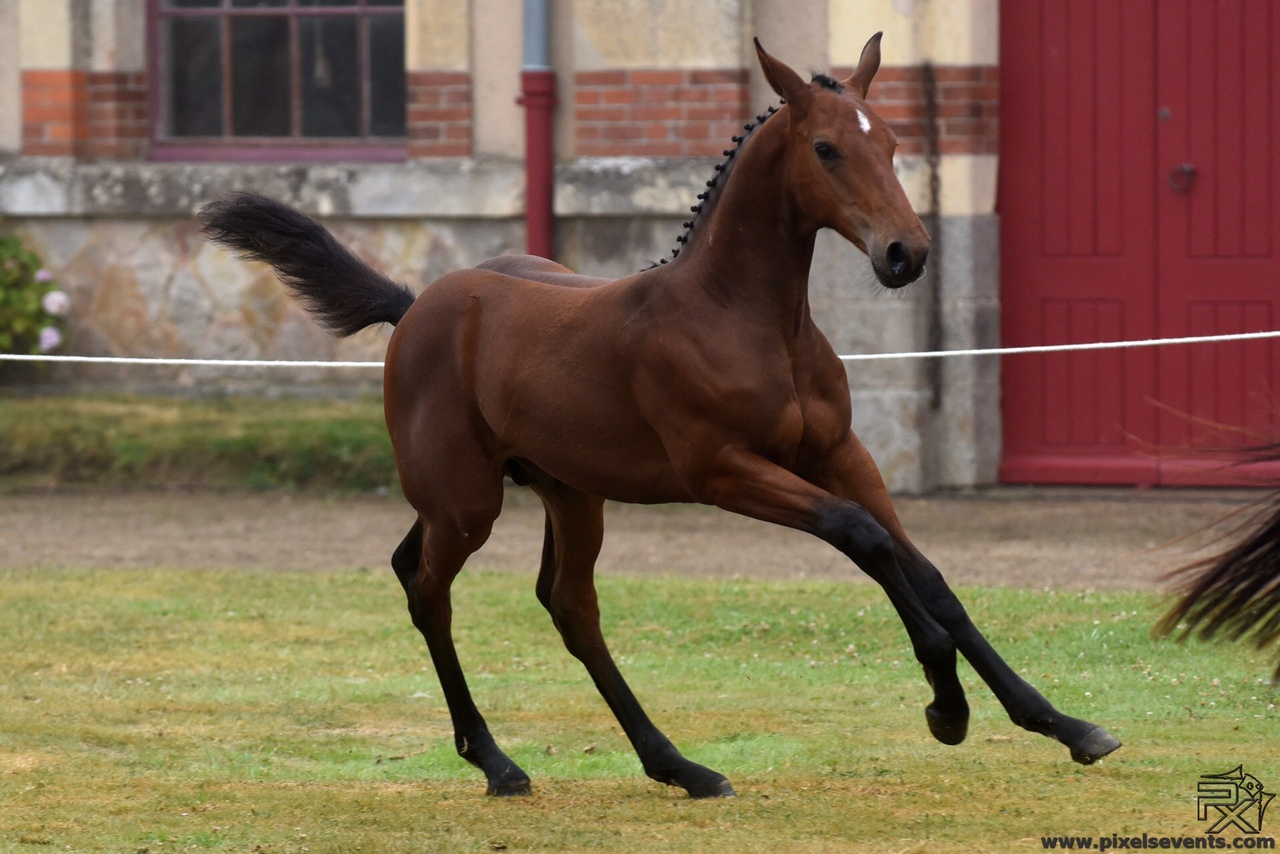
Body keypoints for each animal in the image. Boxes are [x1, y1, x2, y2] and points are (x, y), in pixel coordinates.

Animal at [202, 33, 1121, 793]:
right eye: (826, 148)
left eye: (893, 143)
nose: (907, 254)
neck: (747, 316)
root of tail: (415, 303)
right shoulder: (724, 471)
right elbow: (862, 537)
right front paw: (946, 708)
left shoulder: (840, 453)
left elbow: (925, 572)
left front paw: (1063, 723)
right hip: (466, 499)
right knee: (430, 590)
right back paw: (499, 763)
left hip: (563, 491)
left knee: (562, 604)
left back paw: (678, 765)